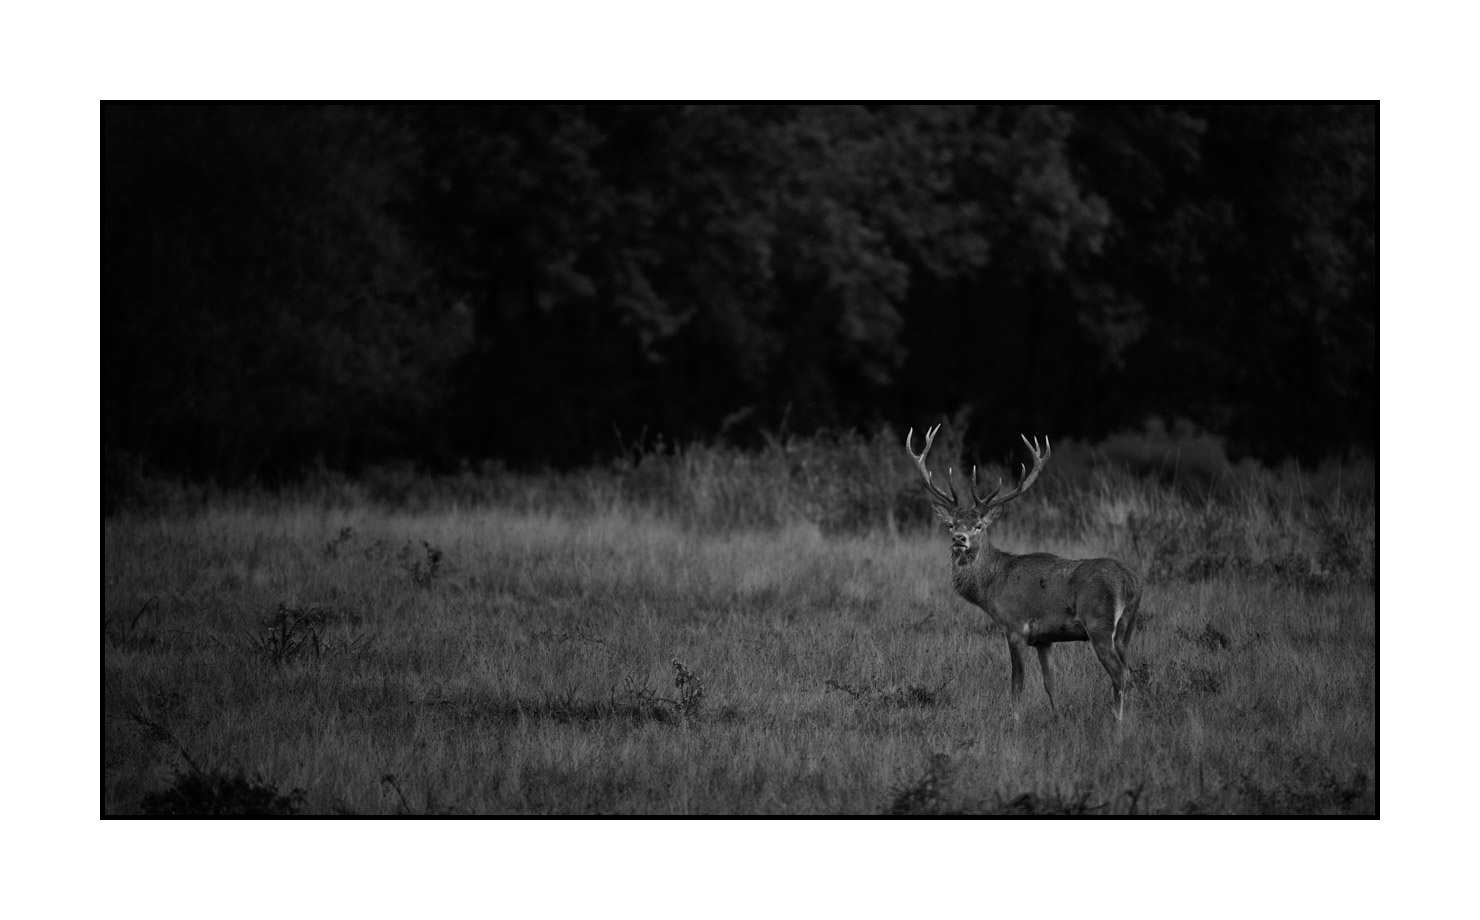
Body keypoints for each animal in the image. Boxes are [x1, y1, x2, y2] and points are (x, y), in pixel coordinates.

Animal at [906, 425, 1143, 719]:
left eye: (979, 525)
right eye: (951, 524)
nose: (959, 538)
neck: (993, 585)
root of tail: (1130, 581)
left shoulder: (1015, 626)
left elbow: (1017, 684)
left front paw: (1014, 719)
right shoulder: (1044, 639)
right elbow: (1050, 682)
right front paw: (1057, 717)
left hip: (1099, 622)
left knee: (1119, 673)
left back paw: (1117, 721)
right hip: (1126, 628)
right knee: (1129, 670)